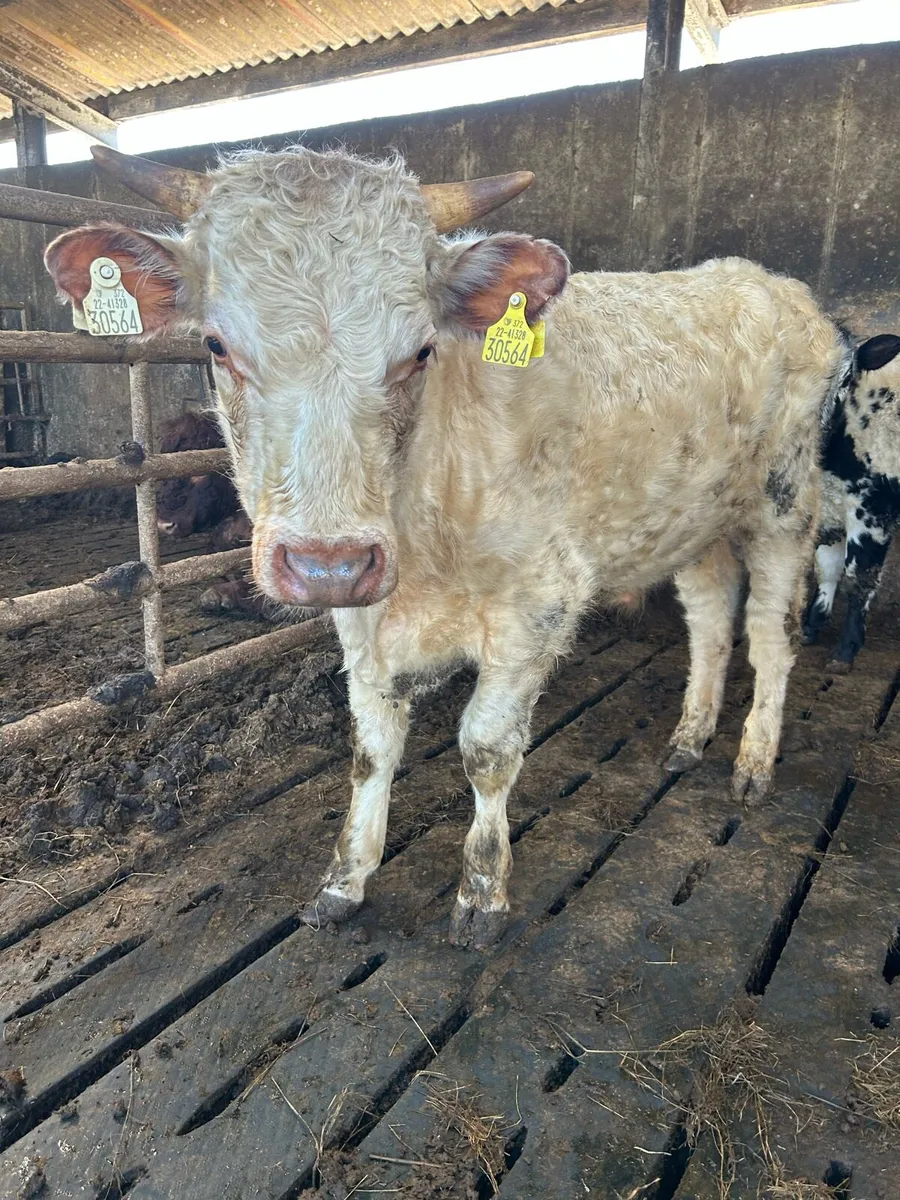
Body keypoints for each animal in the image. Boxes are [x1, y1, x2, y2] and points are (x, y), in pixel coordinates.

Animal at [45, 145, 847, 949]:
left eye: (421, 352)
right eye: (216, 346)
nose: (327, 564)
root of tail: (759, 278)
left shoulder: (540, 604)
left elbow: (486, 748)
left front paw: (483, 890)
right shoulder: (362, 612)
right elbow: (371, 748)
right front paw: (345, 879)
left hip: (784, 505)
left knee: (770, 636)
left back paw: (752, 762)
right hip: (695, 520)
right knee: (710, 621)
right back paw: (688, 735)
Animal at [803, 333, 900, 671]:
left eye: (845, 379)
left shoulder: (873, 508)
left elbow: (858, 577)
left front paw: (847, 648)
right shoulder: (829, 505)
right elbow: (827, 569)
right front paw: (812, 625)